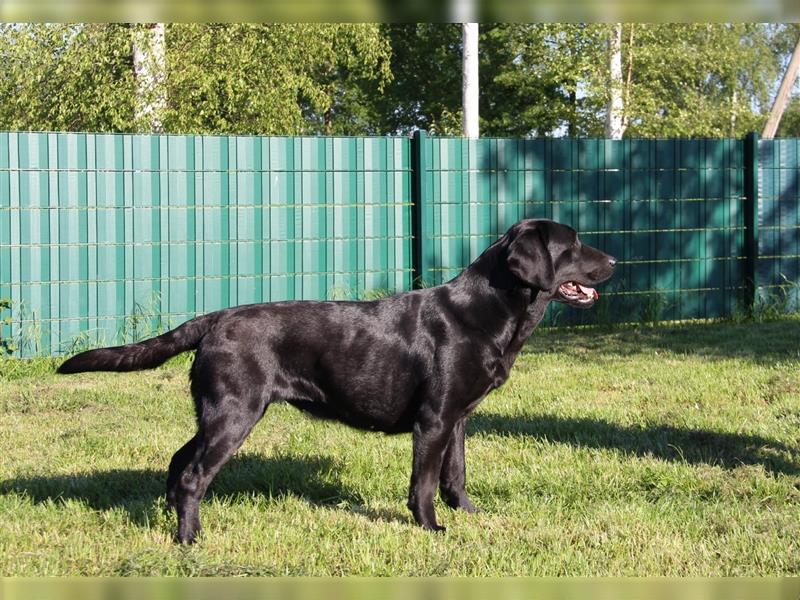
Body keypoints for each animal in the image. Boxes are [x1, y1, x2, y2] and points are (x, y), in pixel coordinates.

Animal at [59, 218, 616, 540]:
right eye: (573, 244)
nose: (613, 260)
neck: (487, 310)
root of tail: (215, 318)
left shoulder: (458, 417)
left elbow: (455, 476)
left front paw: (470, 515)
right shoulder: (433, 420)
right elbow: (424, 484)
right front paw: (431, 528)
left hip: (215, 411)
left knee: (179, 461)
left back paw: (171, 519)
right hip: (236, 411)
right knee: (195, 472)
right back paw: (190, 538)